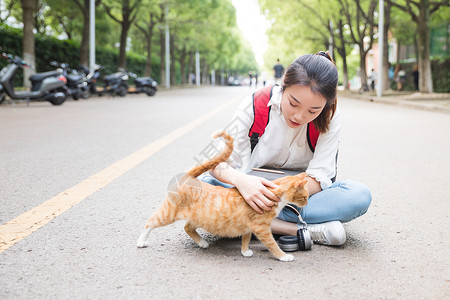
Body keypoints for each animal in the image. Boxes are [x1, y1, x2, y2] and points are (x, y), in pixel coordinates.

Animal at [136, 131, 310, 260]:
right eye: (305, 197)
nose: (307, 204)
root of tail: (189, 177)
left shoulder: (248, 226)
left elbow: (246, 238)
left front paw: (245, 251)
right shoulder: (261, 227)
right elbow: (272, 244)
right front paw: (283, 256)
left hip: (198, 217)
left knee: (187, 227)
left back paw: (202, 243)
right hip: (169, 213)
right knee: (150, 222)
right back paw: (141, 241)